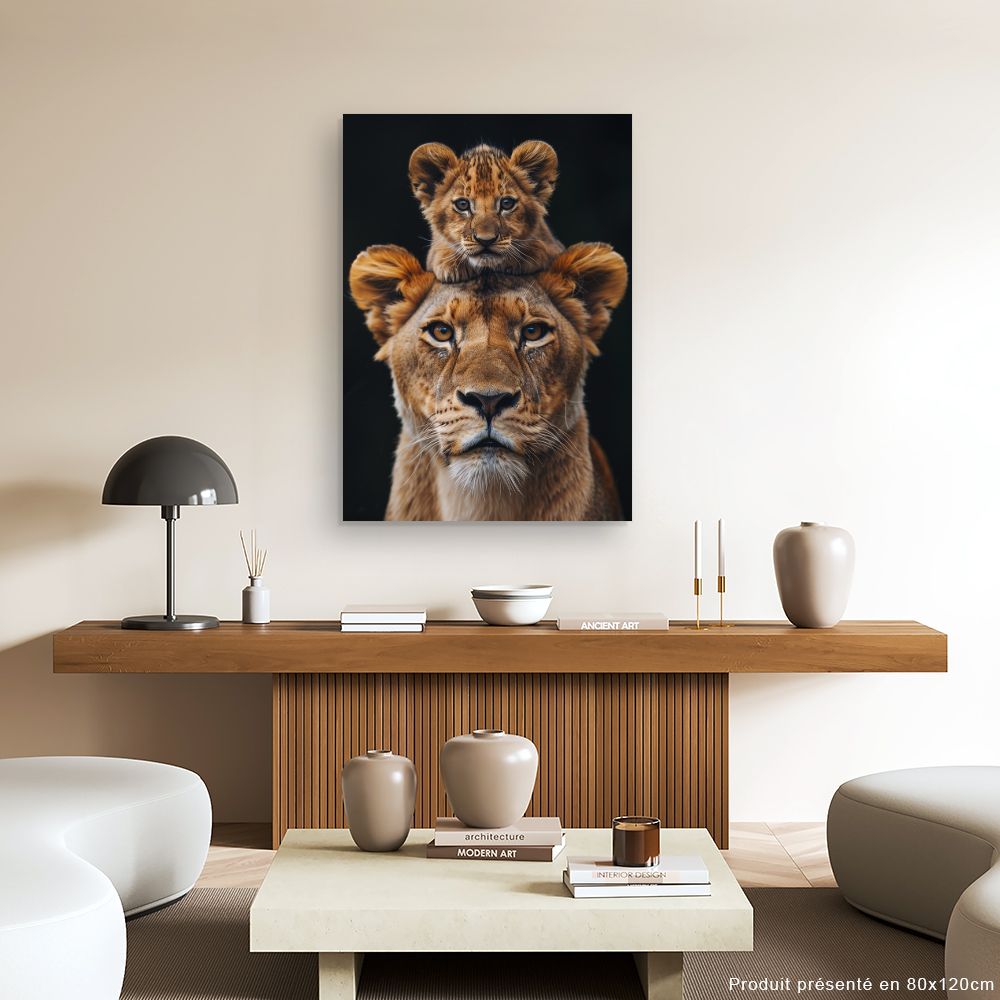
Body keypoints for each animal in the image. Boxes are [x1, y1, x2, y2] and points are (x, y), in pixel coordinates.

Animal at [408, 141, 564, 283]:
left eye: (507, 203)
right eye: (462, 204)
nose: (486, 240)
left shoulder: (555, 247)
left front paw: (526, 256)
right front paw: (451, 264)